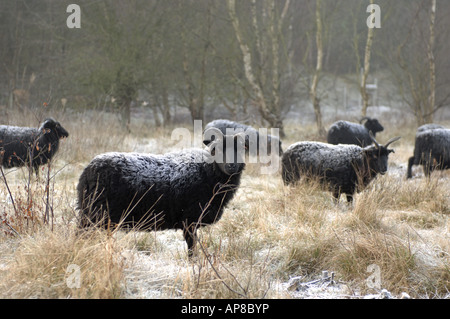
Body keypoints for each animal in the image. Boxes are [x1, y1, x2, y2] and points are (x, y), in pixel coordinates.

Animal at [77, 127, 246, 258]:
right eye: (217, 149)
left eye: (241, 149)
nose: (231, 166)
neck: (206, 170)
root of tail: (88, 170)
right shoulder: (189, 220)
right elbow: (192, 247)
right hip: (94, 215)